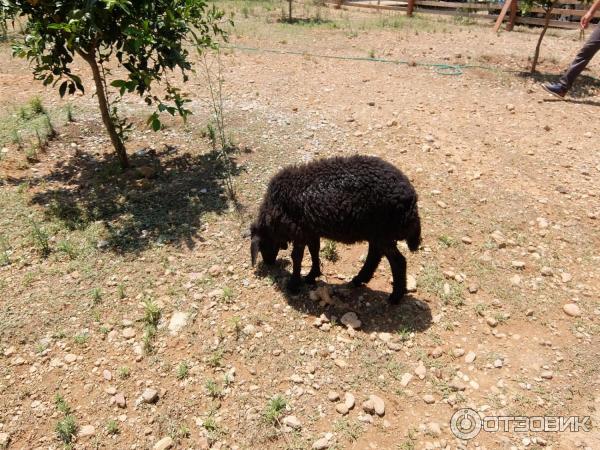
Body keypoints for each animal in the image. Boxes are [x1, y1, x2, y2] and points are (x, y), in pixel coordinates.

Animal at [248, 153, 422, 304]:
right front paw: (312, 275)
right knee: (375, 254)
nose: (269, 263)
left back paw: (395, 297)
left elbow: (297, 257)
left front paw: (294, 284)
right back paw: (359, 280)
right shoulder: (310, 230)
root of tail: (411, 200)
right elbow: (314, 250)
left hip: (383, 232)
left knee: (397, 261)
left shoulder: (299, 231)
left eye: (262, 245)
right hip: (376, 232)